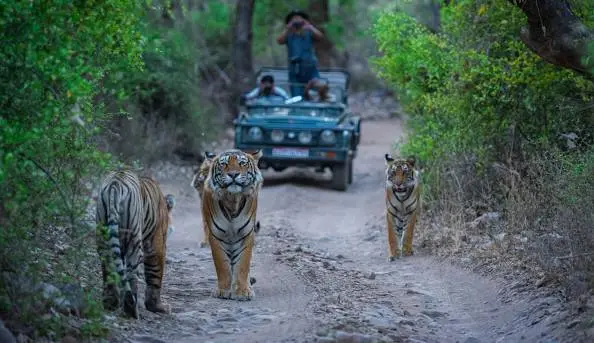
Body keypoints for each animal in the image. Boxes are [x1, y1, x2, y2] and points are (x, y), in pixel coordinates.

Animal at [95, 171, 173, 318]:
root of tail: (115, 184)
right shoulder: (156, 245)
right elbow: (155, 275)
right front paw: (157, 307)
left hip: (103, 236)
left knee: (108, 268)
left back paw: (111, 303)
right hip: (134, 242)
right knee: (131, 275)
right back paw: (131, 310)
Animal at [201, 148, 262, 300]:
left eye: (242, 163)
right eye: (224, 164)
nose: (233, 174)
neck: (232, 199)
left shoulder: (247, 234)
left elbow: (243, 264)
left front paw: (242, 291)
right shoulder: (215, 236)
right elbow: (222, 265)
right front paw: (223, 290)